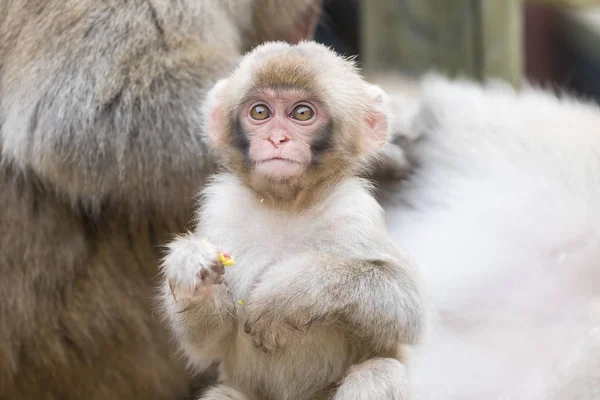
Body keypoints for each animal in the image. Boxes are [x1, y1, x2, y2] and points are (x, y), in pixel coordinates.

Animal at [161, 41, 426, 400]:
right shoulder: (220, 212)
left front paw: (290, 291)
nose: (277, 139)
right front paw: (190, 266)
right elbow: (208, 342)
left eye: (302, 113)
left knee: (380, 371)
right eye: (260, 112)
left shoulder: (355, 212)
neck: (285, 205)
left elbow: (408, 310)